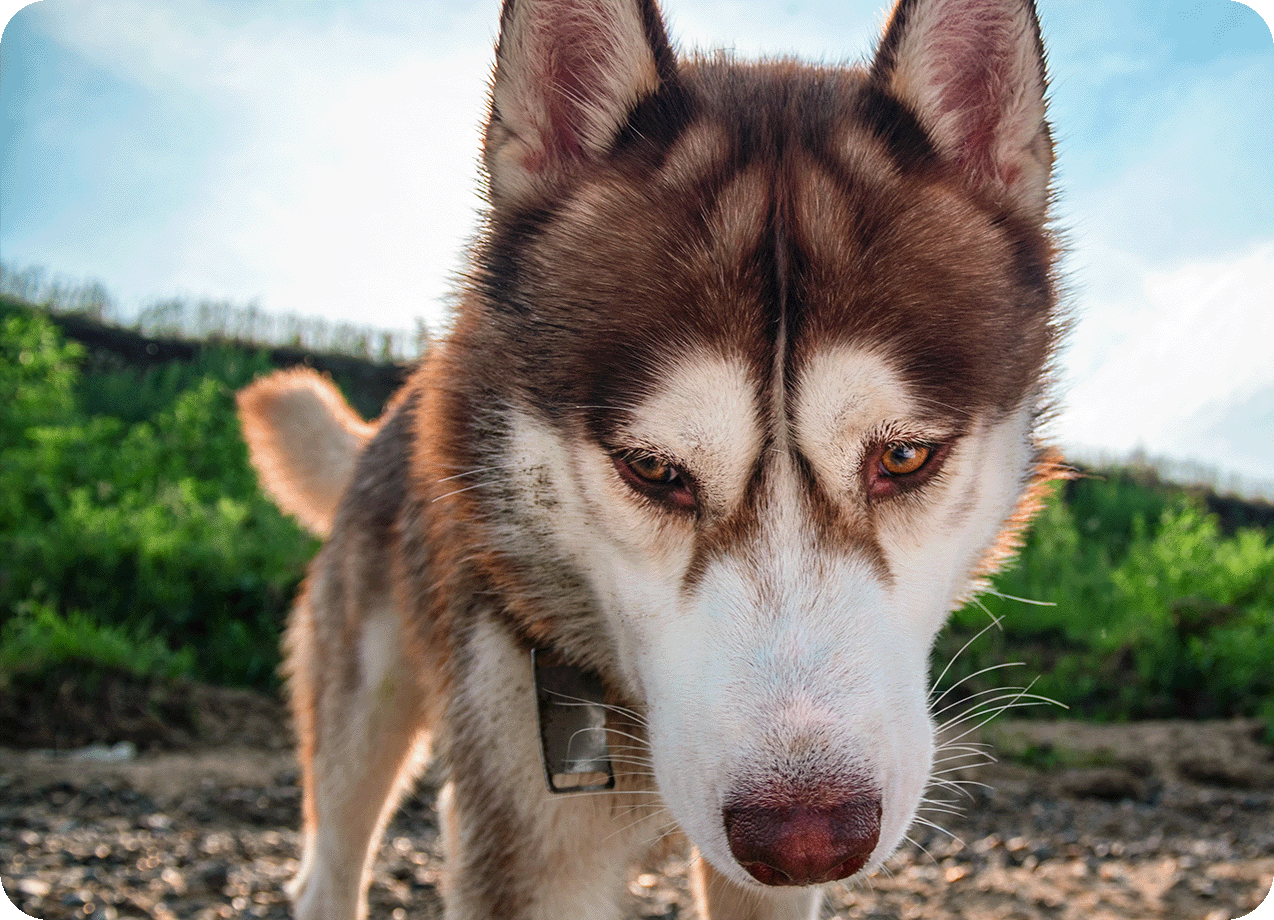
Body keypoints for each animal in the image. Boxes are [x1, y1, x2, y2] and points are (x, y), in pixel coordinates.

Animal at [234, 0, 1059, 912]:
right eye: (654, 469)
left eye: (906, 457)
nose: (807, 840)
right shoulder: (530, 852)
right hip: (367, 711)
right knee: (331, 860)